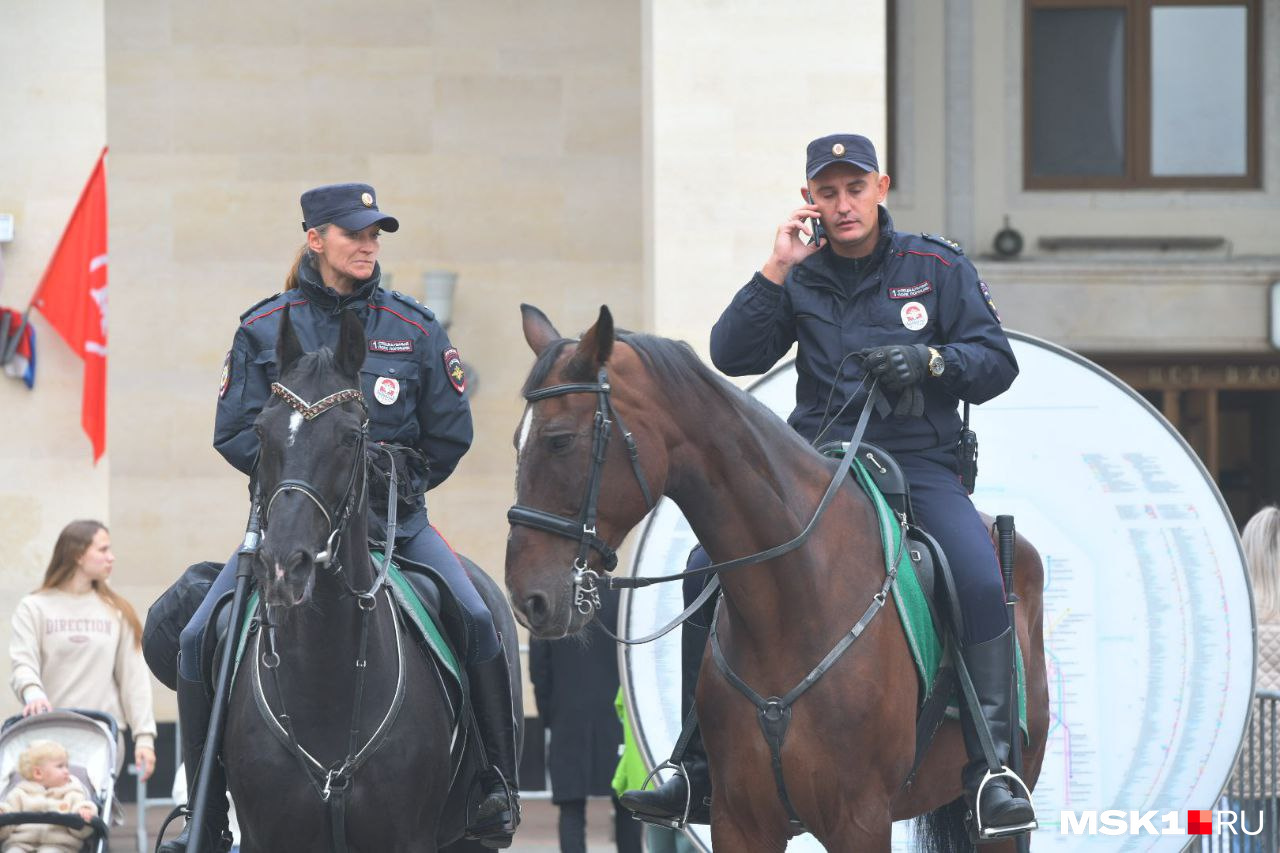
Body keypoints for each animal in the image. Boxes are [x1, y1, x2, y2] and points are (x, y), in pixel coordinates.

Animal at [222, 307, 517, 850]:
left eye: (349, 436)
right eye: (261, 430)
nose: (283, 565)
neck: (325, 677)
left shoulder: (409, 838)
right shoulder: (266, 837)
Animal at [501, 302, 1049, 845]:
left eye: (559, 441)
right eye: (515, 443)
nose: (527, 596)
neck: (793, 599)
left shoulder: (860, 820)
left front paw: (906, 361)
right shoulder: (739, 821)